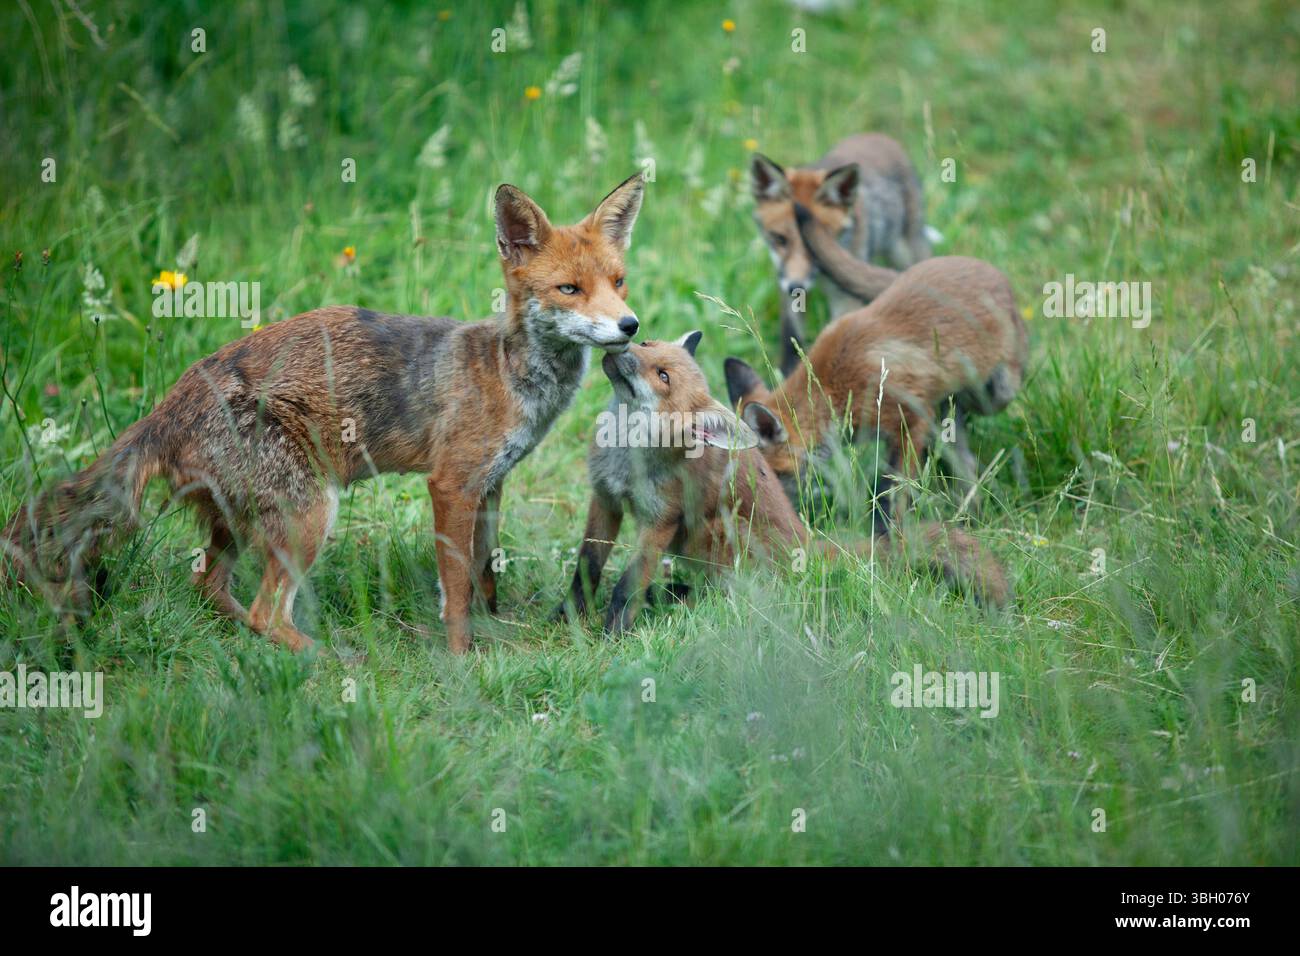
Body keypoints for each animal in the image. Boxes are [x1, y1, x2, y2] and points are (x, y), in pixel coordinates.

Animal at [2, 174, 647, 654]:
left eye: (618, 282)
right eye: (569, 289)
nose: (630, 325)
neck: (509, 373)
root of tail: (168, 406)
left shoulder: (489, 484)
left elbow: (485, 575)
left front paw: (492, 632)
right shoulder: (452, 484)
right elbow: (457, 589)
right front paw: (463, 658)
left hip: (241, 520)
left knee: (208, 585)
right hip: (312, 511)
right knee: (265, 612)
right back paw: (329, 658)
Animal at [558, 334, 1010, 634]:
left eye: (663, 376)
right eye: (648, 344)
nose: (621, 343)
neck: (625, 455)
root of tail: (807, 543)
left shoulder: (660, 521)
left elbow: (628, 583)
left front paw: (613, 633)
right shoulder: (605, 499)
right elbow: (588, 565)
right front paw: (569, 615)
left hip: (721, 533)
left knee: (736, 596)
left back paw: (673, 598)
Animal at [725, 206, 1029, 537]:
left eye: (759, 475)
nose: (738, 512)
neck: (834, 386)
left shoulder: (911, 420)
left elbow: (892, 489)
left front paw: (886, 533)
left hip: (998, 392)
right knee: (966, 463)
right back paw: (971, 512)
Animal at [750, 133, 932, 374]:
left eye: (815, 243)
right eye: (780, 239)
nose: (796, 286)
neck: (823, 277)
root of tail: (879, 136)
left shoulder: (846, 299)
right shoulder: (785, 284)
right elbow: (791, 341)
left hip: (905, 251)